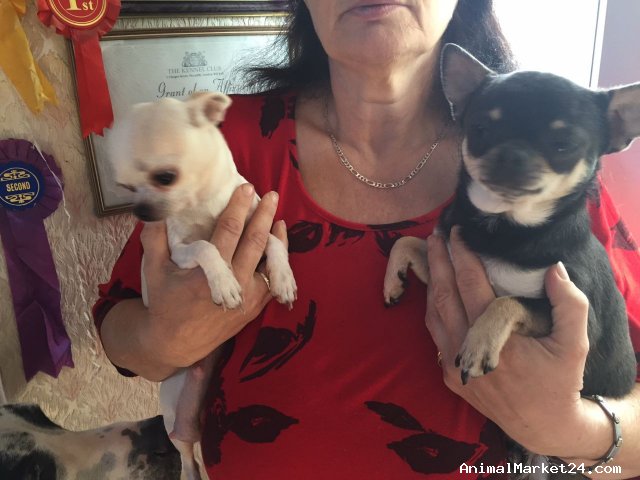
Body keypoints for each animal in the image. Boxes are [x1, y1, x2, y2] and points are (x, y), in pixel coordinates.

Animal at [108, 92, 298, 480]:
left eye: (165, 177)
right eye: (127, 188)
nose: (141, 212)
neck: (202, 205)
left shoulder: (257, 219)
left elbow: (273, 241)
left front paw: (283, 277)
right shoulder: (180, 252)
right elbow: (205, 247)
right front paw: (224, 282)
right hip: (172, 416)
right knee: (187, 456)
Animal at [384, 43, 640, 476]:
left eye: (562, 144)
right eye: (481, 130)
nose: (512, 155)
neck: (503, 225)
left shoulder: (571, 313)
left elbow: (508, 300)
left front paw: (478, 342)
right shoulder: (445, 258)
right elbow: (407, 241)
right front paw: (393, 280)